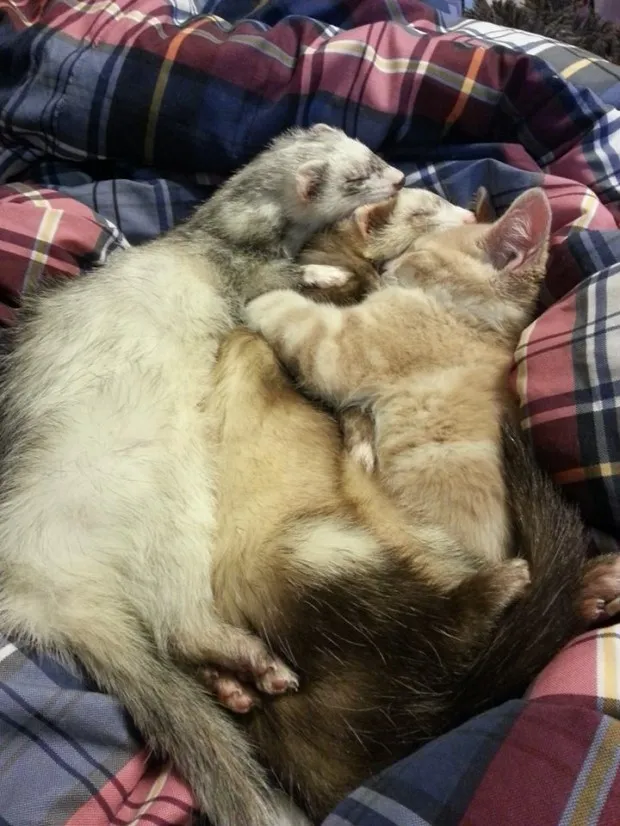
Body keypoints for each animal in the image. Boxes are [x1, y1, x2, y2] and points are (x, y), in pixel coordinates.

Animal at [0, 122, 404, 824]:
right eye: (358, 176)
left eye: (371, 150)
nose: (402, 176)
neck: (216, 232)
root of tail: (42, 589)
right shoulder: (248, 277)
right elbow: (280, 277)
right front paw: (323, 270)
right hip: (174, 518)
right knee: (182, 627)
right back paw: (256, 665)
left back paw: (234, 684)